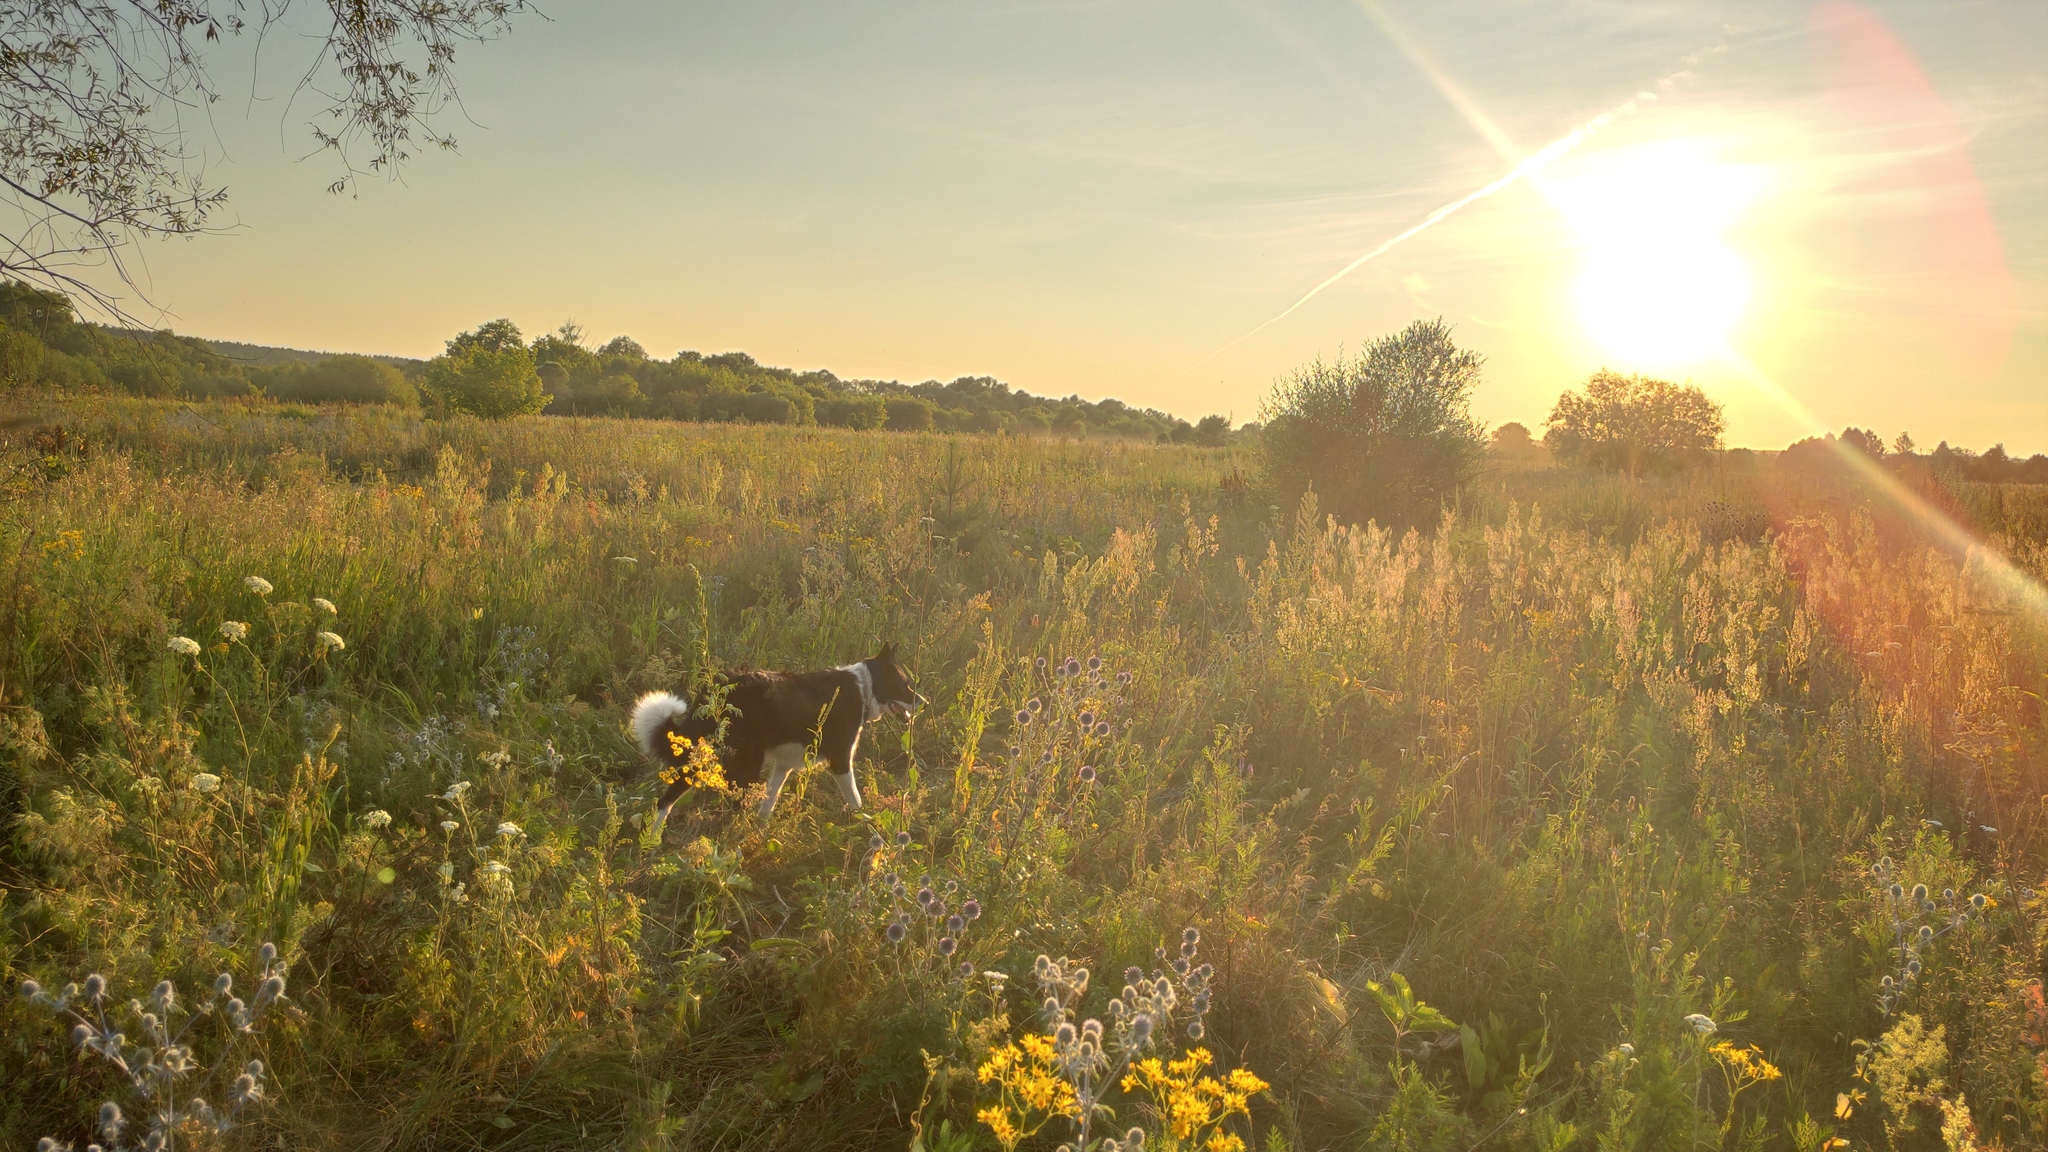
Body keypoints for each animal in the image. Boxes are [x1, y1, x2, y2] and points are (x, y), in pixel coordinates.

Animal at [630, 635, 929, 815]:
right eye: (905, 683)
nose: (924, 703)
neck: (864, 687)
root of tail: (715, 691)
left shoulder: (783, 765)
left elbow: (768, 804)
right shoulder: (840, 761)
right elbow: (856, 801)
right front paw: (867, 828)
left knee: (666, 799)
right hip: (742, 763)